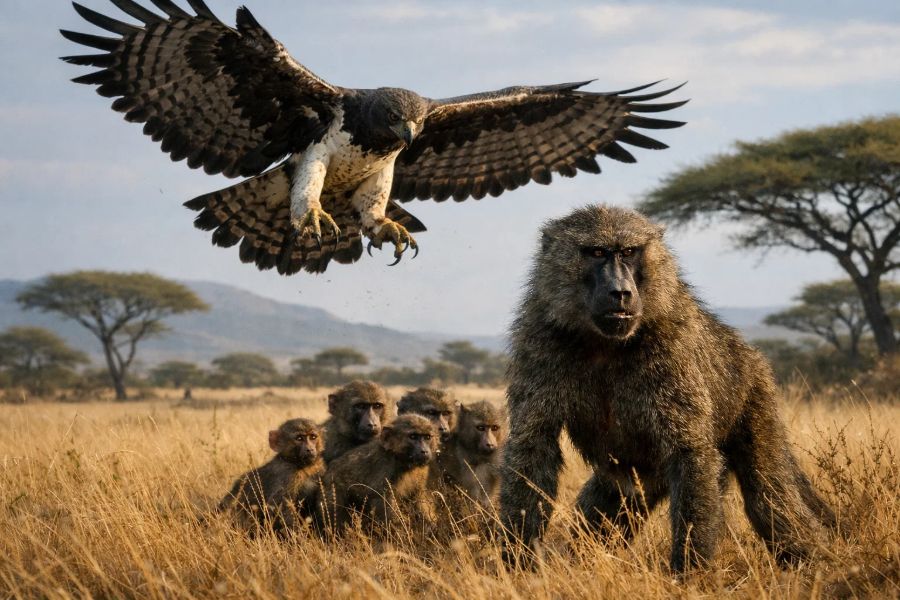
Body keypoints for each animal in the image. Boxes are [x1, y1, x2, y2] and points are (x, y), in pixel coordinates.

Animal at [499, 204, 835, 573]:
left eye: (629, 252)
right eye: (597, 253)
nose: (620, 293)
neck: (604, 344)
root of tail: (747, 352)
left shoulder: (673, 345)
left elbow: (690, 451)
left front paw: (689, 573)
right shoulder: (538, 338)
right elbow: (534, 446)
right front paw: (516, 564)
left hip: (754, 395)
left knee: (768, 491)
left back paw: (811, 560)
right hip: (634, 478)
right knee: (608, 504)